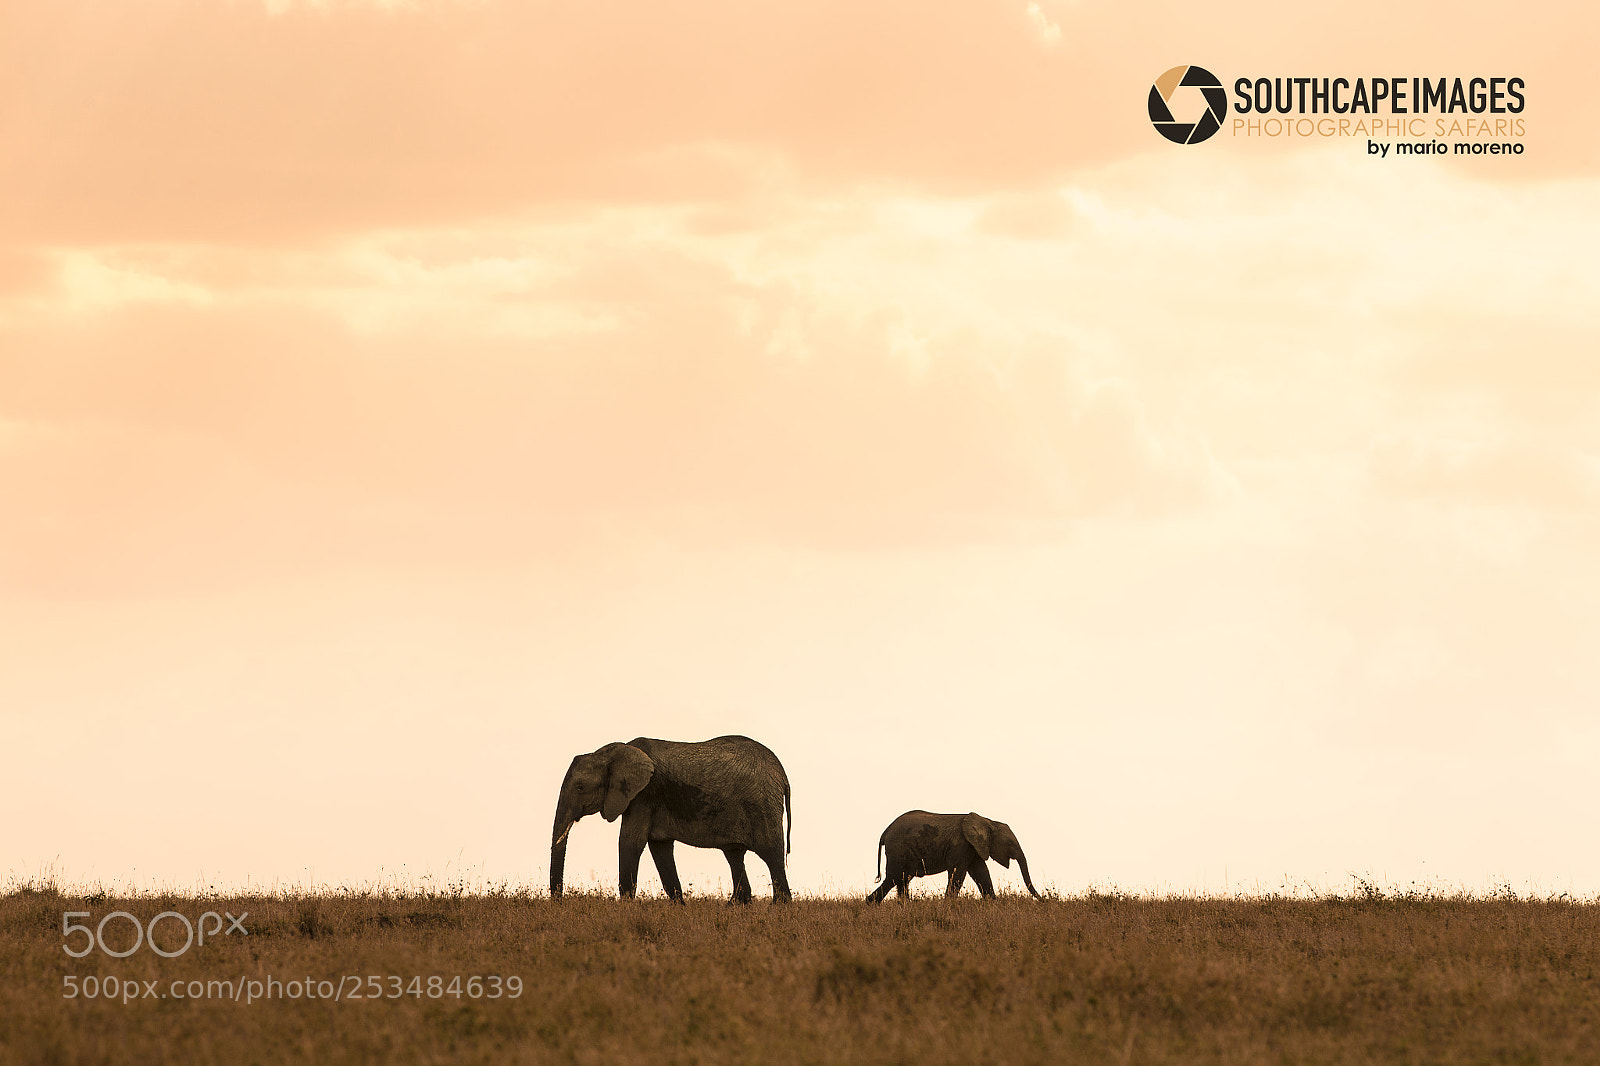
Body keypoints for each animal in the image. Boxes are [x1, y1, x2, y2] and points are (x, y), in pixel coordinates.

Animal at [549, 735, 792, 903]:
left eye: (580, 788)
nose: (559, 902)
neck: (613, 752)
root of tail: (782, 774)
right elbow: (660, 848)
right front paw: (680, 909)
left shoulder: (644, 795)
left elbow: (630, 843)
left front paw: (624, 909)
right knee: (734, 855)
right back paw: (735, 907)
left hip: (762, 806)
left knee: (772, 855)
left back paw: (779, 909)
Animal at [867, 810, 1040, 902]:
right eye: (1010, 843)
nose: (1044, 899)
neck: (987, 821)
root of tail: (885, 832)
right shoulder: (961, 845)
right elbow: (958, 873)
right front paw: (947, 905)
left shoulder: (973, 848)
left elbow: (982, 873)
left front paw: (993, 904)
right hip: (898, 850)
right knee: (895, 877)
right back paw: (872, 903)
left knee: (901, 879)